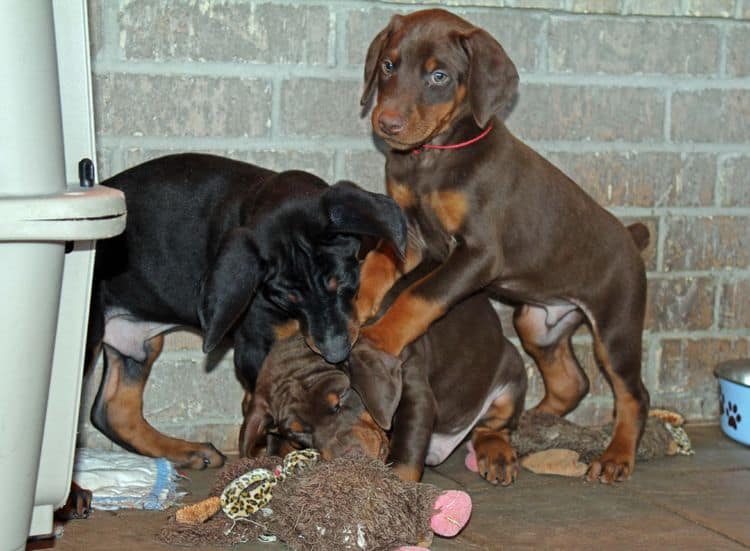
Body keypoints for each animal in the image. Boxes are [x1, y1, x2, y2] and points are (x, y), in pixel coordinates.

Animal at [86, 152, 408, 470]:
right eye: (286, 298)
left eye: (341, 281)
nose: (336, 353)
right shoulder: (255, 347)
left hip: (139, 344)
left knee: (113, 410)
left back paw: (189, 452)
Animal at [352, 7, 652, 484]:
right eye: (388, 65)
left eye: (439, 75)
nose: (387, 124)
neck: (433, 157)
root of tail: (631, 237)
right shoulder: (411, 233)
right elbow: (380, 260)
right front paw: (357, 304)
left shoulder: (479, 254)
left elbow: (421, 295)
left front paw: (380, 337)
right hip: (539, 323)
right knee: (571, 381)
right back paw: (530, 421)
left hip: (616, 325)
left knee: (633, 394)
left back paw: (616, 456)